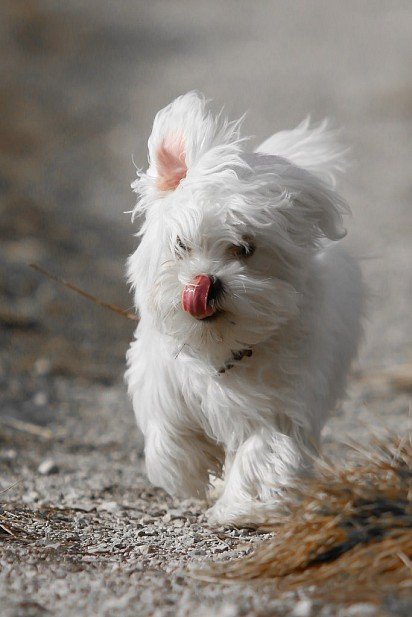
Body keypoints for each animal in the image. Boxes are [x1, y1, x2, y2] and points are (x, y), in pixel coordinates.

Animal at [124, 91, 362, 524]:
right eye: (181, 244)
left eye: (245, 248)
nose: (206, 283)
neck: (216, 342)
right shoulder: (162, 378)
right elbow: (169, 432)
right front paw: (188, 470)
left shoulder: (280, 402)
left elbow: (262, 449)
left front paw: (242, 508)